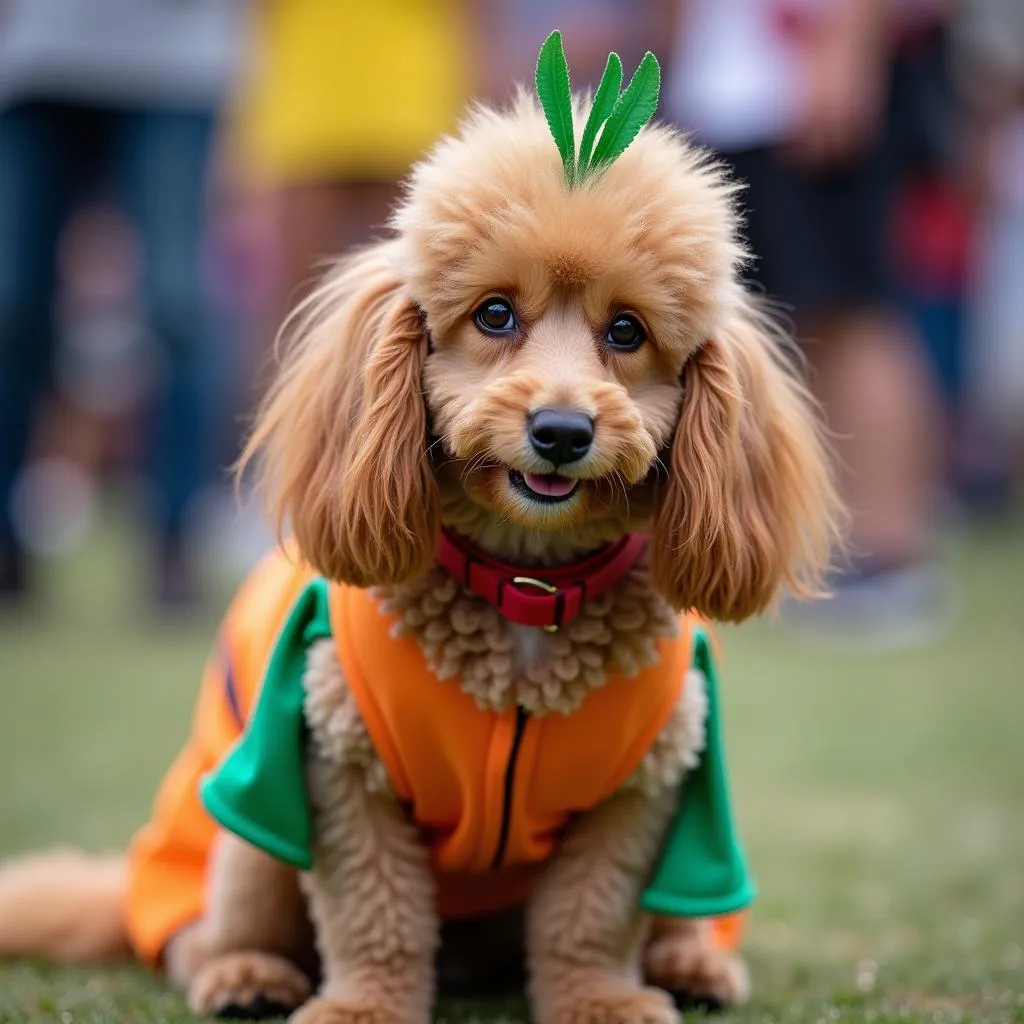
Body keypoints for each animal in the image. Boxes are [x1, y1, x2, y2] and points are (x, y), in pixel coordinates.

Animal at [0, 81, 839, 1024]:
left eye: (626, 332)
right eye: (495, 314)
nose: (561, 430)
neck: (527, 582)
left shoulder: (643, 783)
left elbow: (591, 919)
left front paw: (600, 1002)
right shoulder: (339, 760)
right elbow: (376, 912)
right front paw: (363, 1007)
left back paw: (691, 962)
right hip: (245, 831)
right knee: (199, 935)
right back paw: (244, 975)